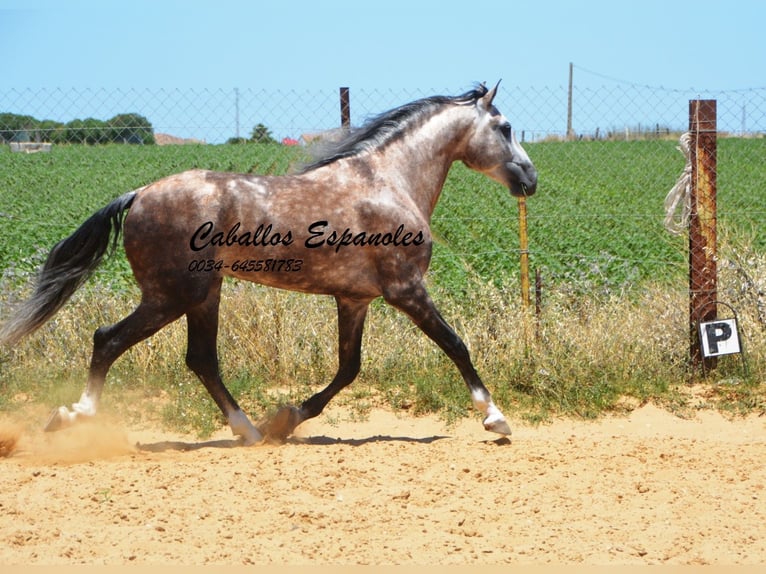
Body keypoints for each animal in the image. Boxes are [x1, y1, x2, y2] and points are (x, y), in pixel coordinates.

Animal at [0, 84, 540, 446]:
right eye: (506, 127)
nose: (530, 179)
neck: (388, 183)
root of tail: (137, 195)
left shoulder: (355, 299)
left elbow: (348, 369)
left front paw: (287, 419)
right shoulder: (406, 289)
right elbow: (456, 345)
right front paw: (496, 418)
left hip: (202, 295)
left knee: (200, 359)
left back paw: (251, 430)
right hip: (174, 296)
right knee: (109, 339)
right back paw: (74, 415)